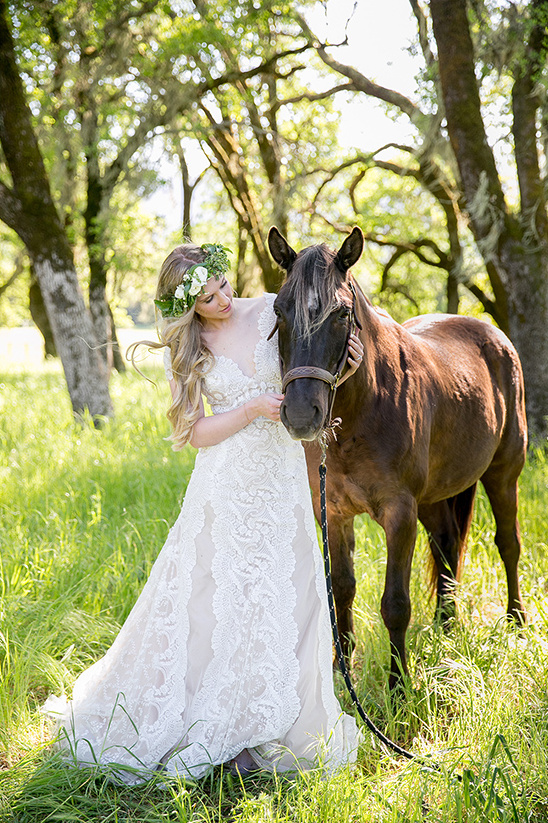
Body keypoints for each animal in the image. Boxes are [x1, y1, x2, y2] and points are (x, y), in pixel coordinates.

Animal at [268, 225, 527, 689]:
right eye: (279, 310)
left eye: (341, 313)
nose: (300, 414)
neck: (362, 410)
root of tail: (494, 335)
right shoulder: (333, 512)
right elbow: (343, 588)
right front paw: (341, 672)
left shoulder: (399, 512)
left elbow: (395, 603)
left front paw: (399, 684)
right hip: (435, 497)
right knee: (446, 544)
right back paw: (446, 625)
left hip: (502, 475)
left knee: (507, 544)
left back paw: (515, 622)